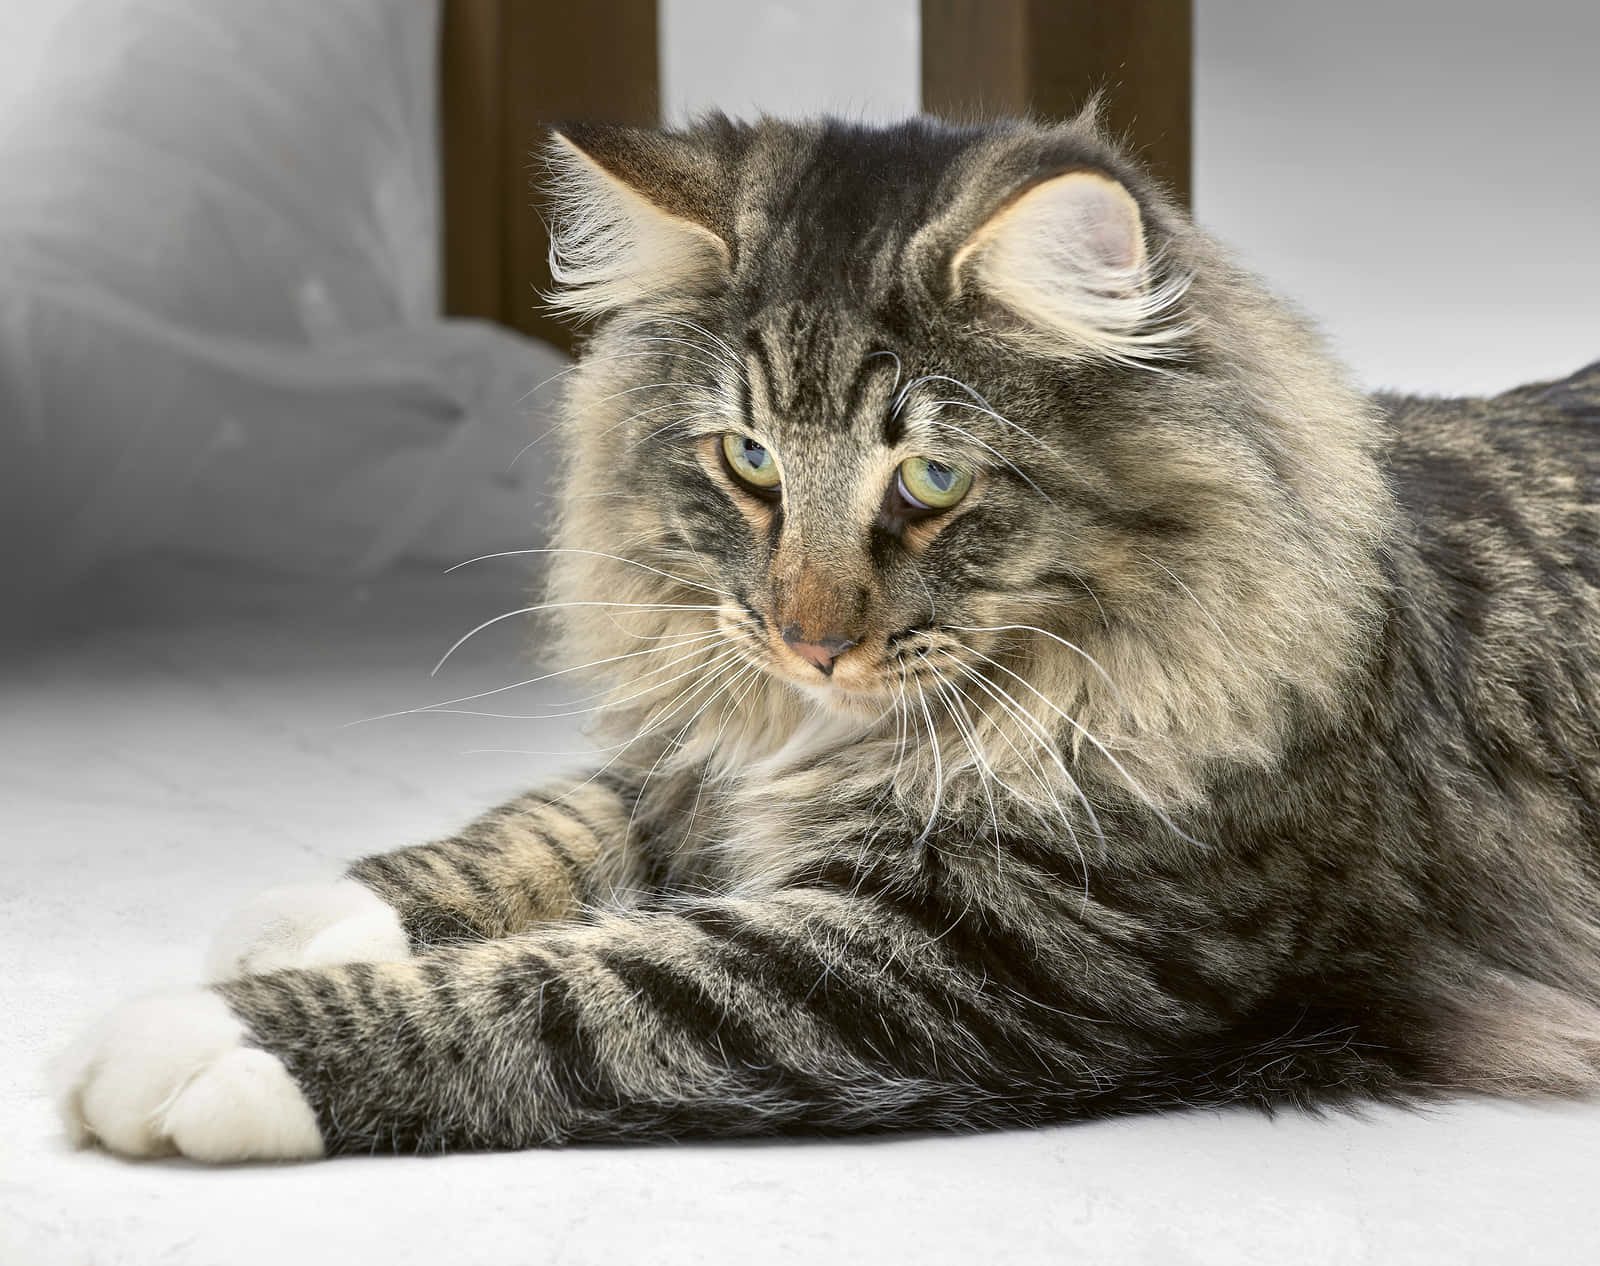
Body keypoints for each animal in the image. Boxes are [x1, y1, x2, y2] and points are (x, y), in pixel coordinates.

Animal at [56, 113, 1600, 1165]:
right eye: (746, 460)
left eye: (931, 480)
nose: (809, 642)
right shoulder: (714, 756)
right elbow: (566, 817)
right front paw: (307, 917)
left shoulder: (997, 950)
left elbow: (594, 983)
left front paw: (208, 1034)